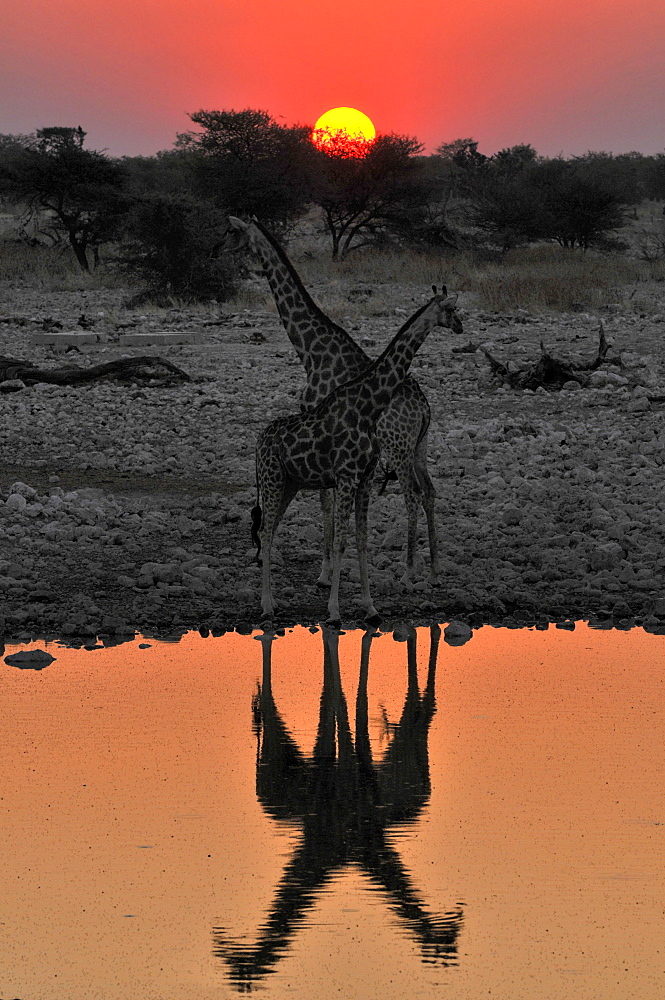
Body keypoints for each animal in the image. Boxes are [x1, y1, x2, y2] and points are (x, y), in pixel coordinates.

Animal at [223, 214, 462, 584]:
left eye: (232, 231)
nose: (217, 249)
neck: (310, 350)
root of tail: (424, 407)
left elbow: (325, 501)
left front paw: (325, 571)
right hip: (420, 445)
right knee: (431, 493)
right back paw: (435, 568)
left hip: (398, 448)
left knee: (412, 495)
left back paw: (409, 569)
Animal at [252, 286, 460, 620]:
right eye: (452, 309)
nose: (460, 326)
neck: (367, 407)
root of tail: (259, 441)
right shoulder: (347, 477)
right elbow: (340, 541)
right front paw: (334, 610)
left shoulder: (365, 478)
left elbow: (361, 541)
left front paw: (370, 607)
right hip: (271, 479)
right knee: (267, 530)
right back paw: (268, 605)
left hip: (290, 483)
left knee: (269, 528)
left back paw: (271, 602)